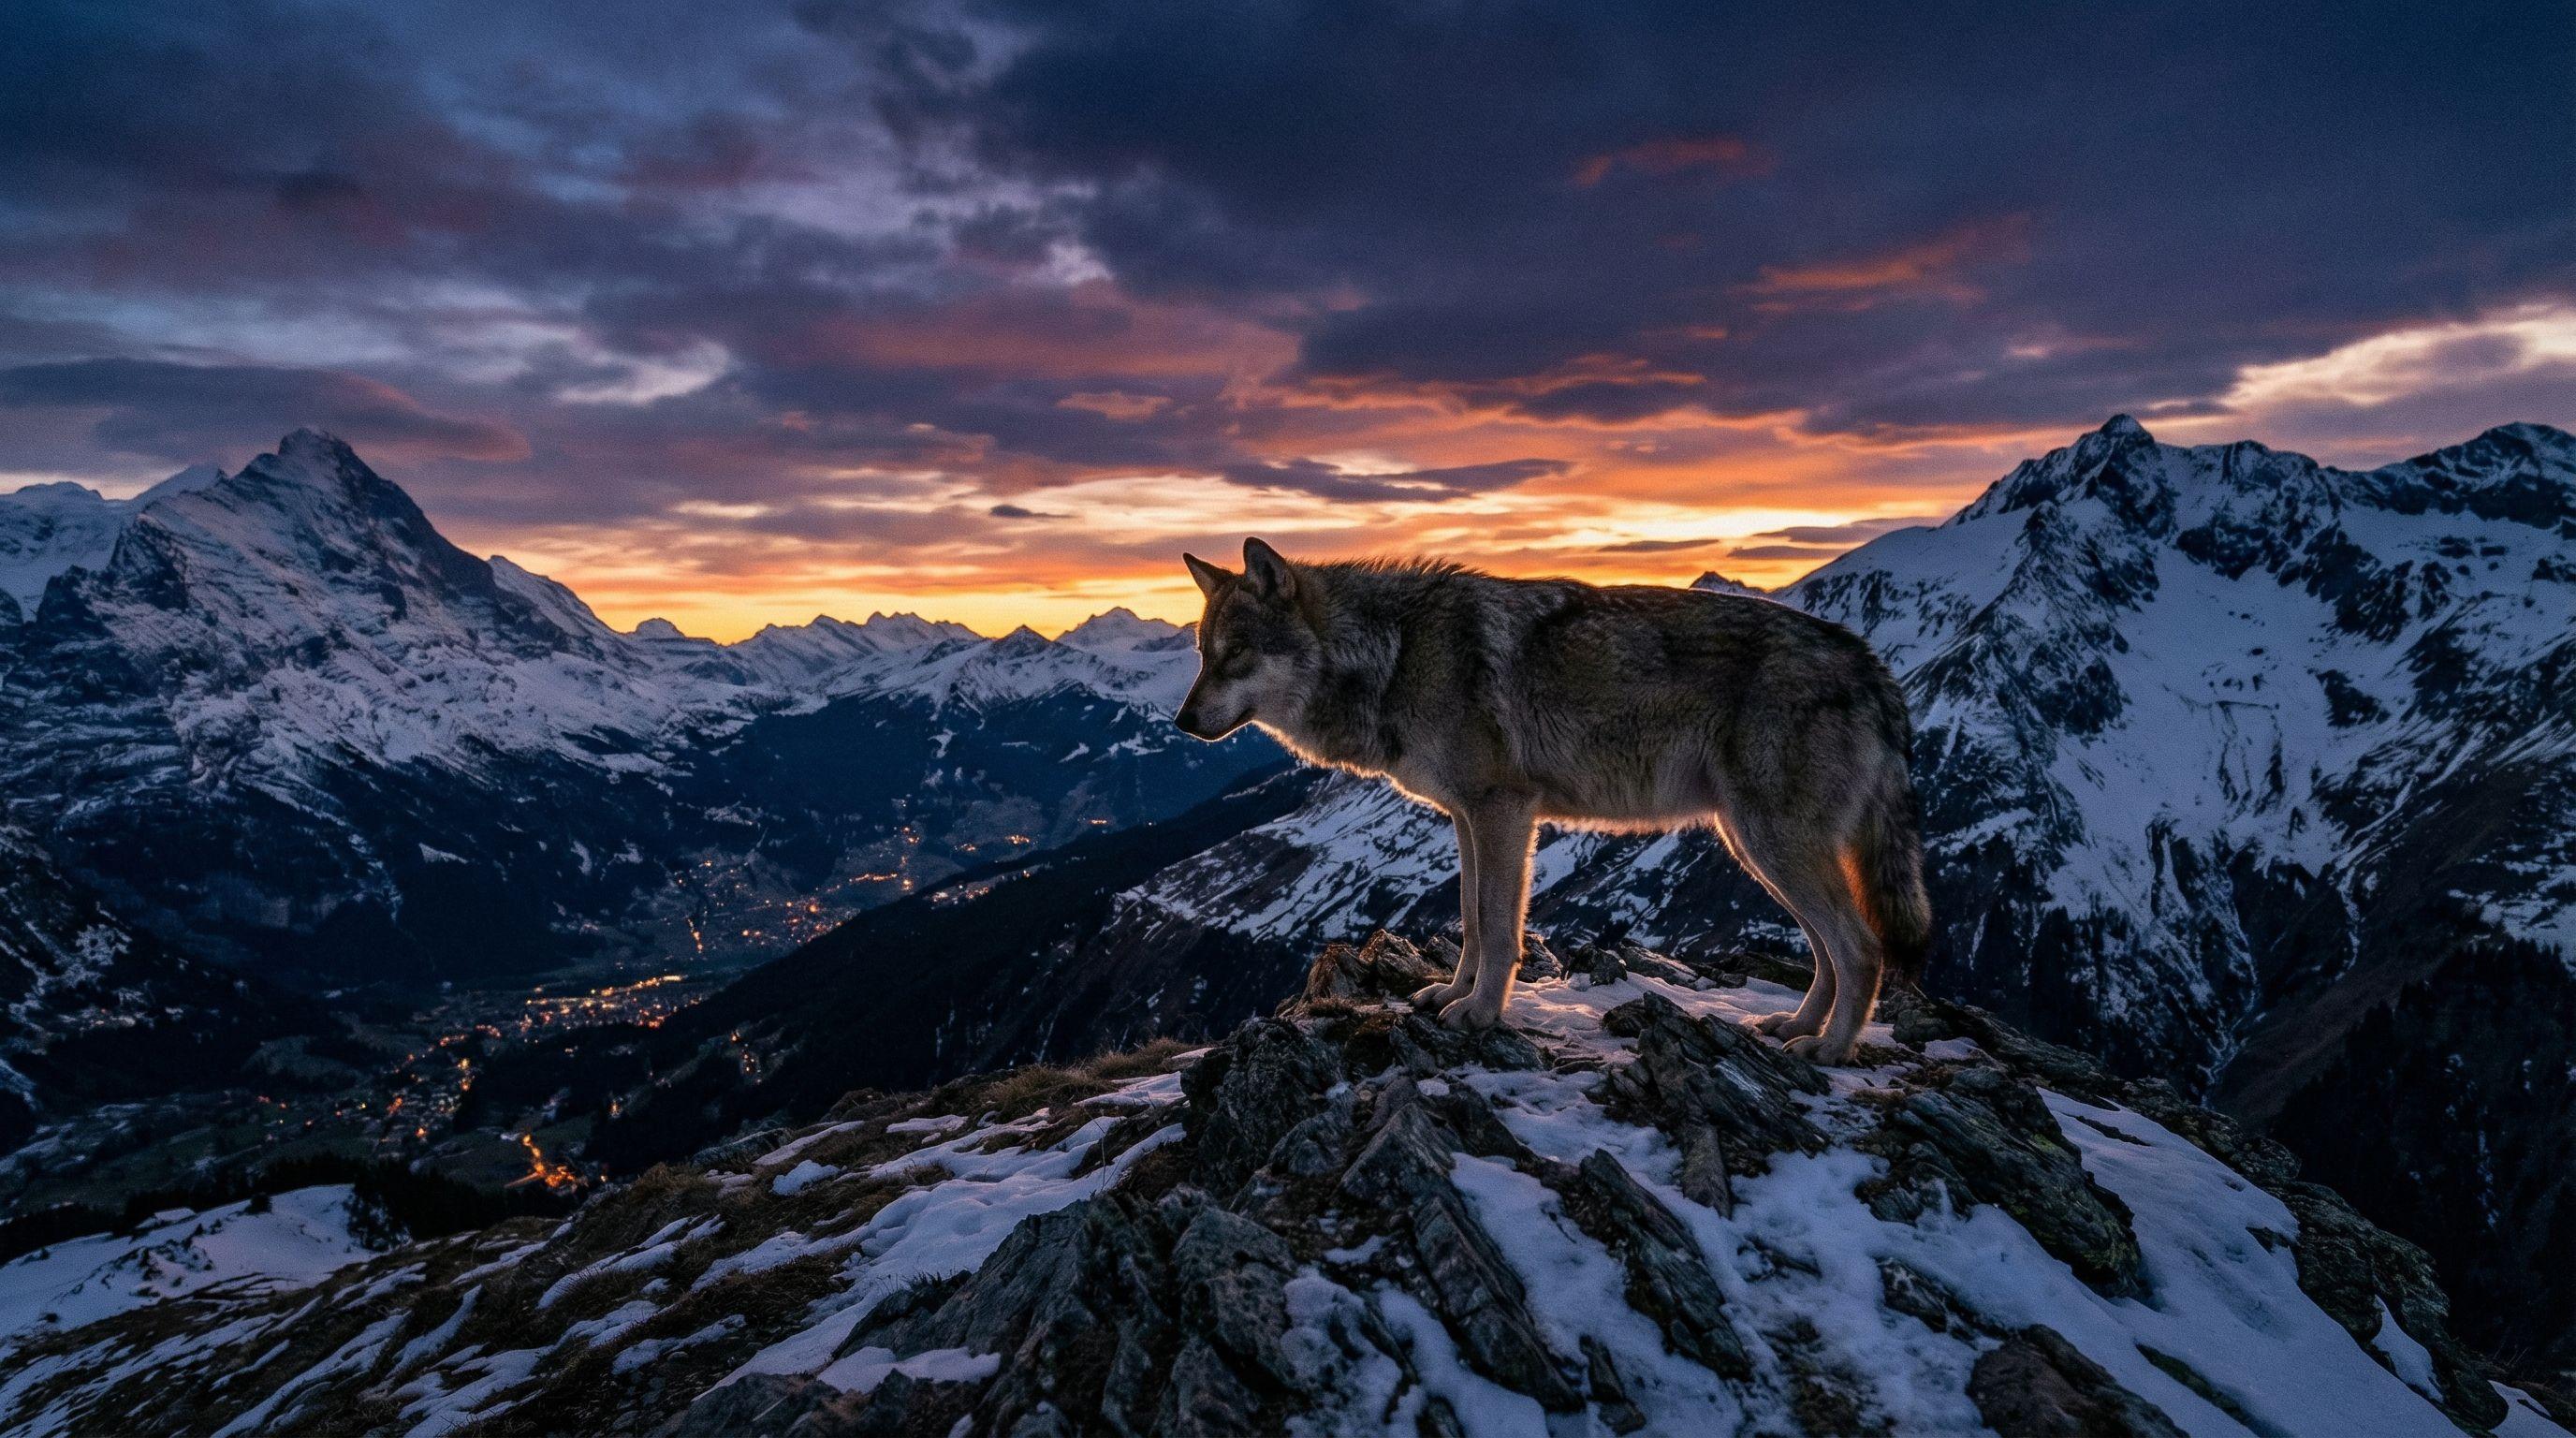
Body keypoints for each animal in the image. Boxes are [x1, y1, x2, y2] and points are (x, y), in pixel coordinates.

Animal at [1173, 537, 1930, 1065]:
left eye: (1236, 654)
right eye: (1203, 654)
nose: (1181, 723)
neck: (1394, 654)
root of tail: (1869, 661)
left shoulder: (1503, 810)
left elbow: (1499, 926)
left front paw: (1481, 1014)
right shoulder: (1467, 818)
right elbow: (1473, 920)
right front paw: (1452, 994)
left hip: (1773, 844)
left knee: (1862, 948)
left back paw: (1830, 1050)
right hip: (1756, 847)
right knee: (1829, 951)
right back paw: (1796, 1026)